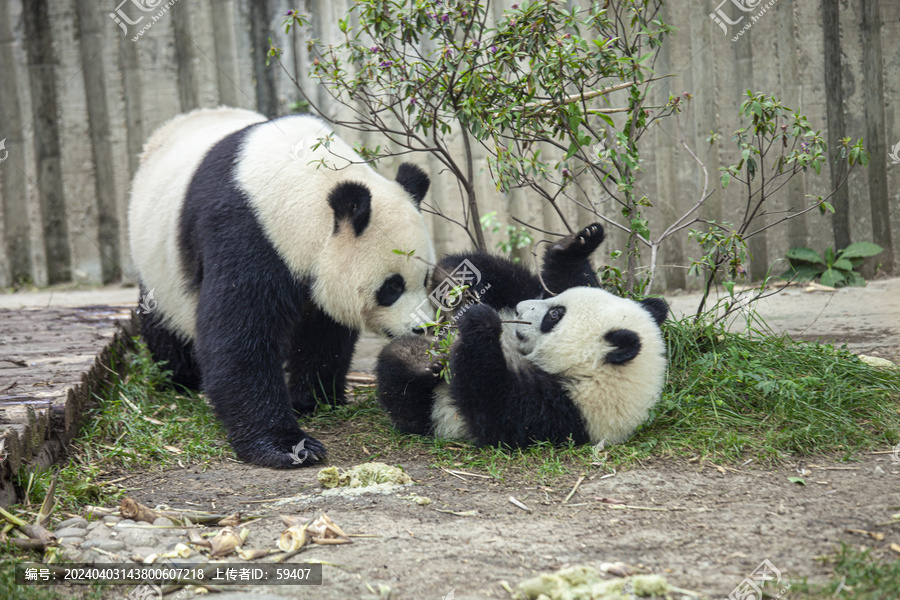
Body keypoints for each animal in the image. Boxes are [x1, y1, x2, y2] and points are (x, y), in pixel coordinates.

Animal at [128, 108, 434, 468]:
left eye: (425, 279)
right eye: (392, 286)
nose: (422, 328)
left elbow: (323, 331)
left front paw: (316, 399)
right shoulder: (247, 231)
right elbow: (239, 337)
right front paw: (287, 445)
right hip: (158, 265)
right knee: (165, 321)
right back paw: (179, 378)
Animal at [374, 225, 668, 450]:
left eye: (554, 315)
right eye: (555, 306)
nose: (519, 309)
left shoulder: (564, 412)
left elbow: (494, 409)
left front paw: (482, 322)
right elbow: (555, 281)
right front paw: (579, 243)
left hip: (434, 410)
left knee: (403, 390)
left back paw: (417, 359)